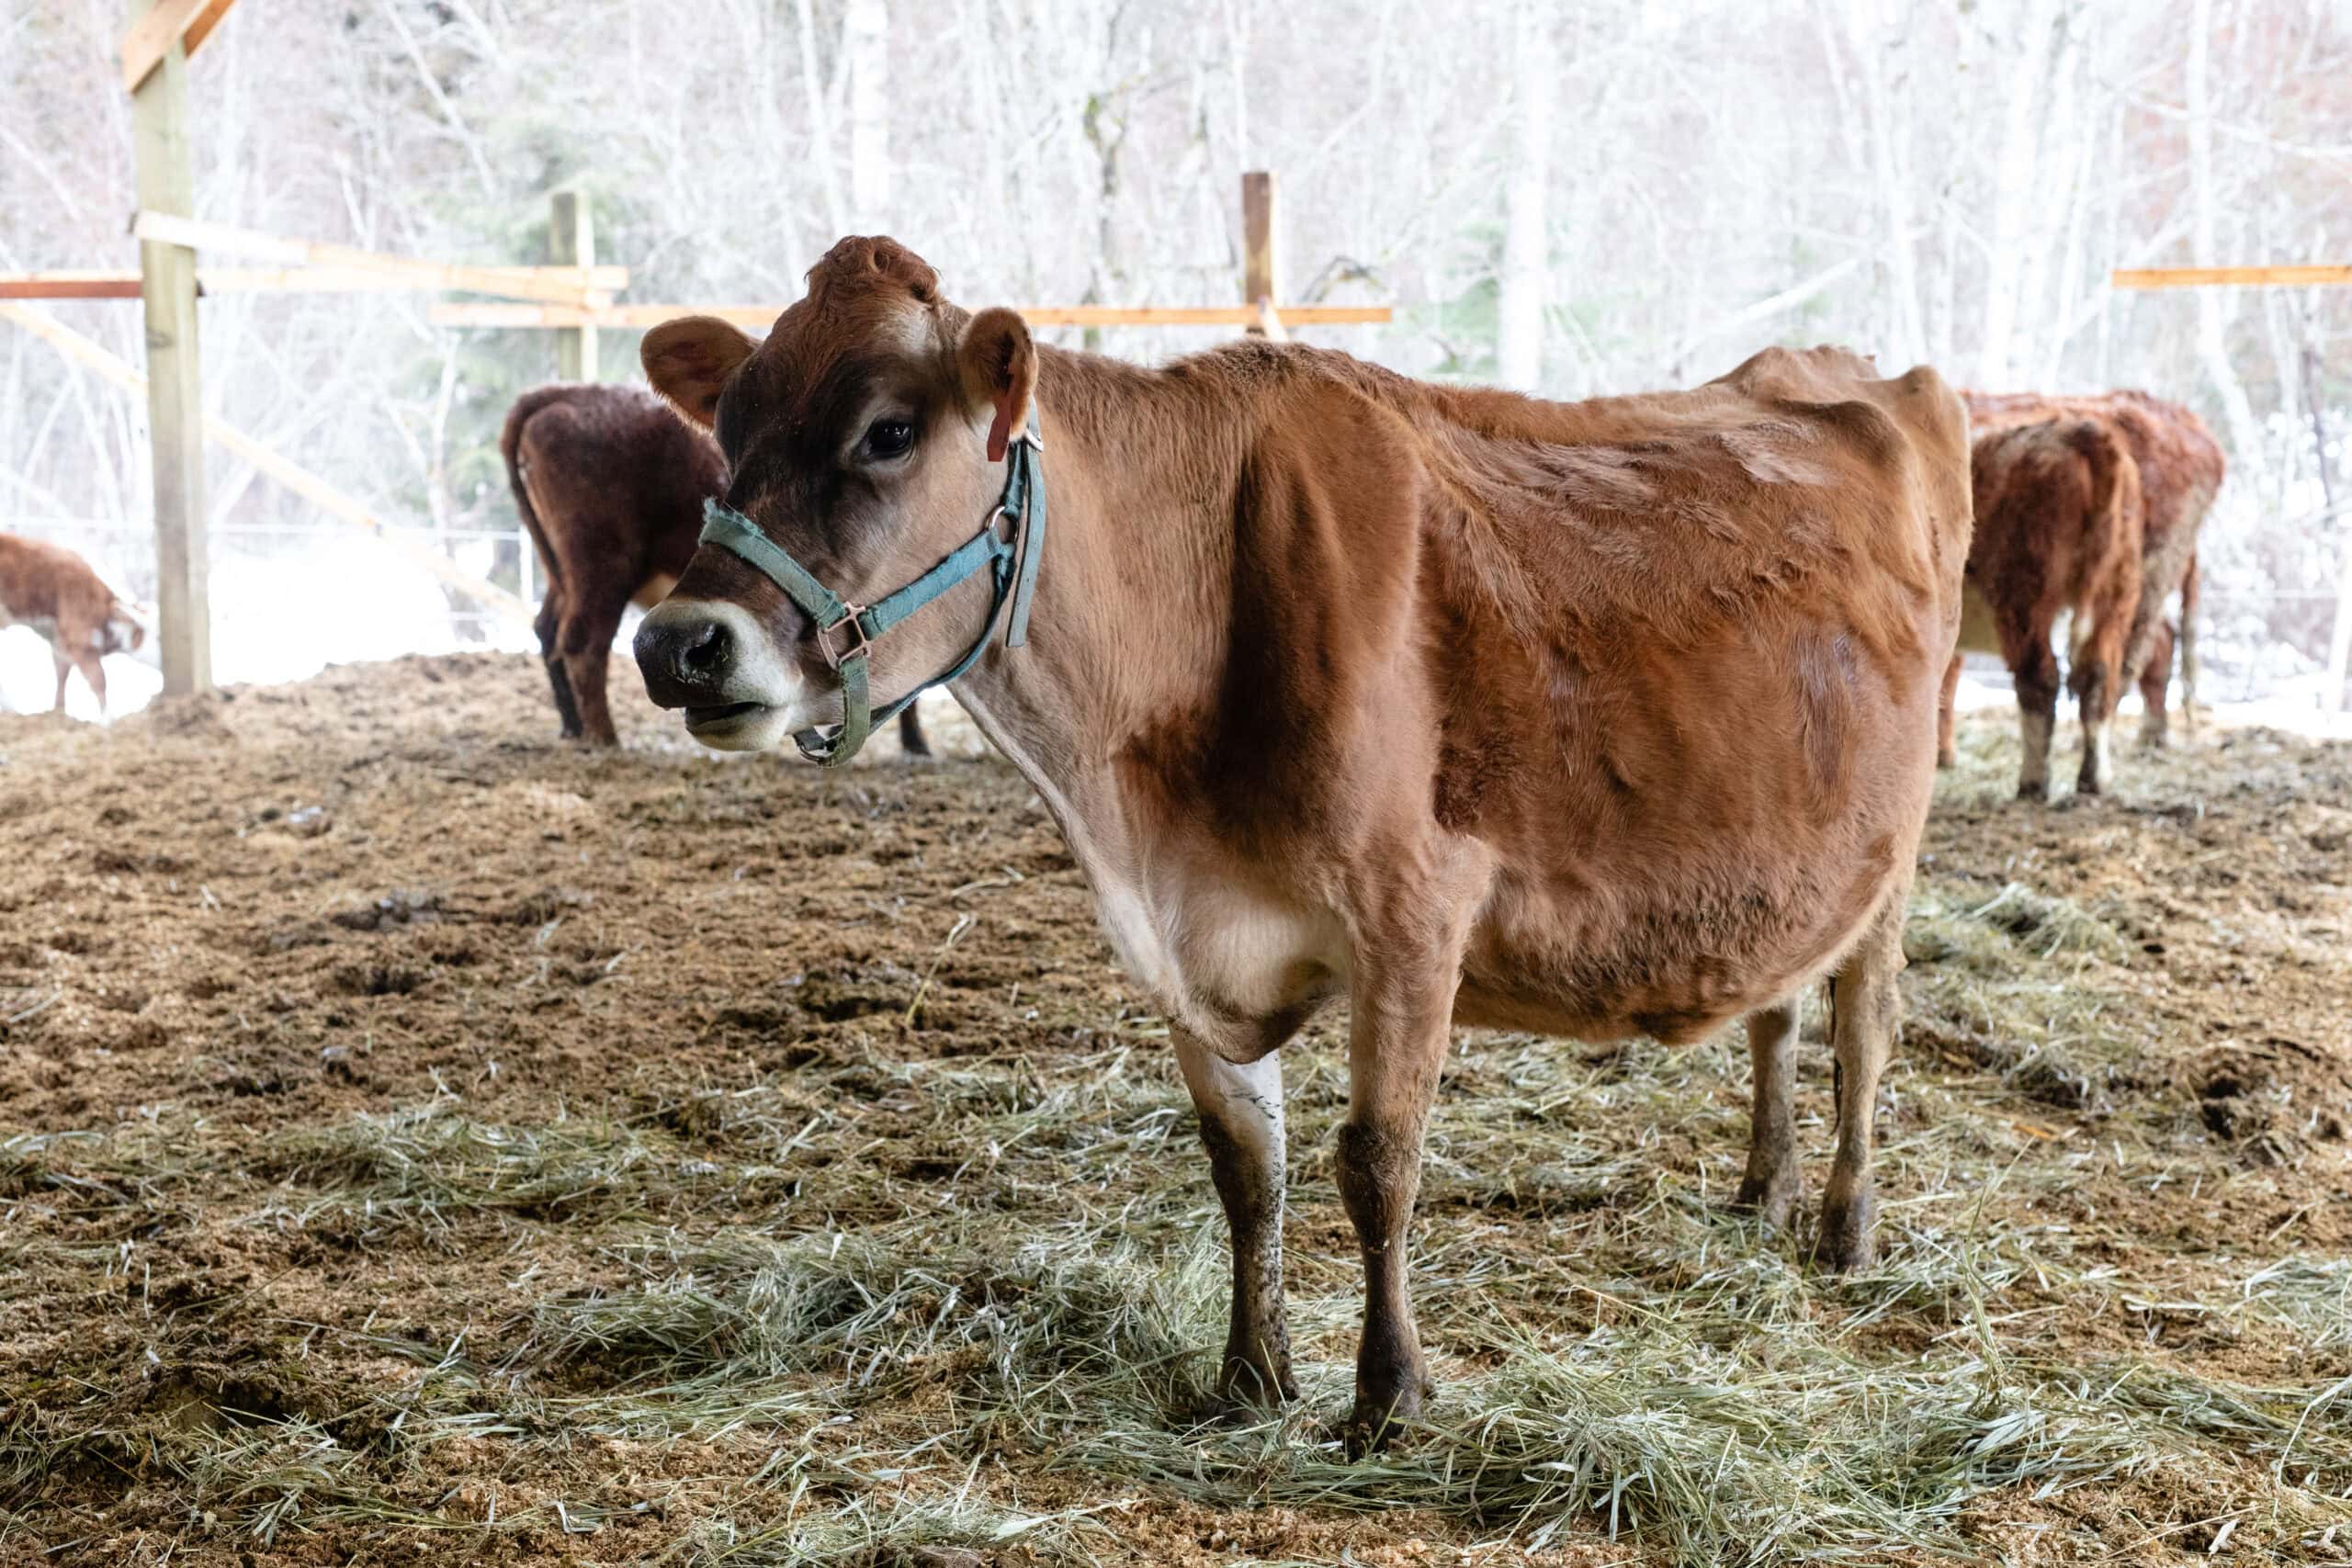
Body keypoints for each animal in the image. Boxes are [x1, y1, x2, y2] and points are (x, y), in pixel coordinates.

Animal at [0, 533, 148, 714]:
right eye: (139, 631)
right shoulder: (79, 636)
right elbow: (99, 680)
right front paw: (107, 718)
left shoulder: (59, 640)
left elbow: (62, 673)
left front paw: (59, 711)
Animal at [501, 382, 932, 755]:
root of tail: (565, 392)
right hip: (602, 565)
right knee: (583, 641)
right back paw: (604, 737)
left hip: (565, 574)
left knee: (548, 630)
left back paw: (573, 726)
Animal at [631, 237, 1971, 1454]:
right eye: (727, 431)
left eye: (889, 432)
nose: (676, 643)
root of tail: (1859, 368)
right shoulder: (1181, 941)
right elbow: (1246, 1165)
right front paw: (1250, 1374)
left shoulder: (1415, 914)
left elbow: (1376, 1163)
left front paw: (1387, 1397)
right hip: (1792, 851)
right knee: (1778, 1008)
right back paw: (1764, 1190)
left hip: (1896, 849)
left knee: (1864, 1026)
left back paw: (1845, 1226)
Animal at [1935, 417, 2142, 797]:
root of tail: (2081, 432)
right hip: (2116, 597)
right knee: (2099, 680)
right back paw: (2094, 778)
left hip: (2024, 596)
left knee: (2039, 680)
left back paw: (2033, 781)